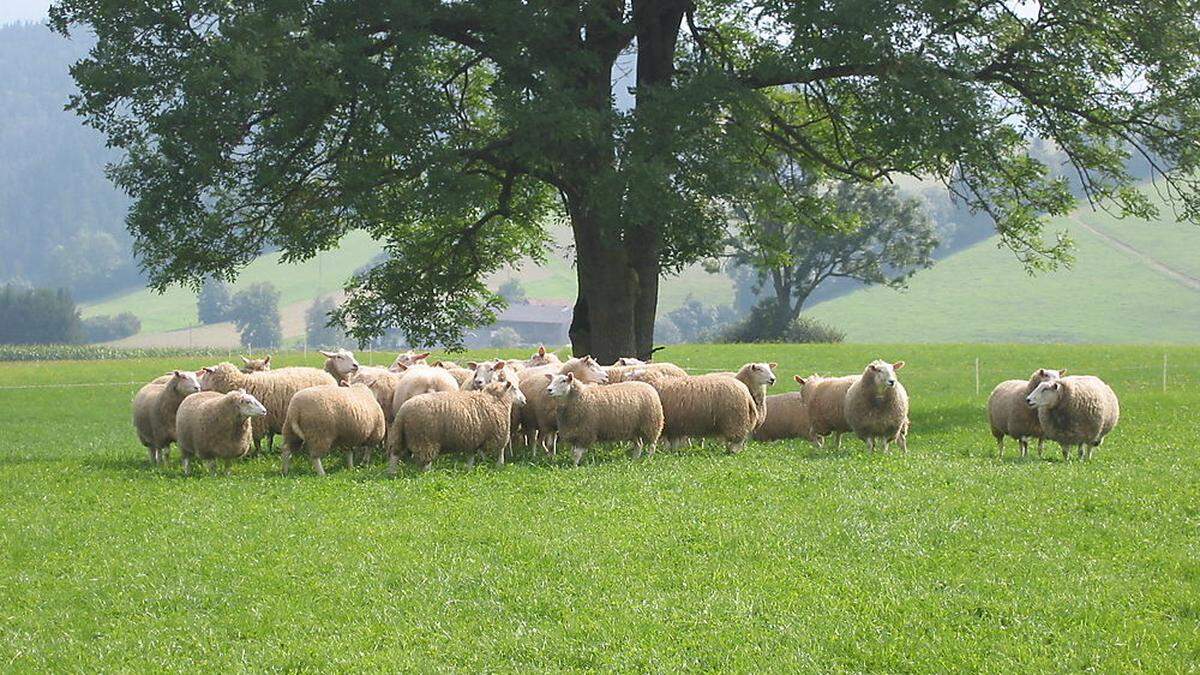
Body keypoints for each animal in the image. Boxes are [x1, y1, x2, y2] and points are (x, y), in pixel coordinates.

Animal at [199, 357, 336, 451]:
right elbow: (269, 439)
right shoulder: (268, 419)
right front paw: (268, 451)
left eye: (206, 375)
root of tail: (330, 377)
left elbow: (257, 440)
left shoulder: (258, 420)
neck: (240, 382)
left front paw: (258, 454)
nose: (200, 389)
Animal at [388, 379, 525, 473]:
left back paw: (392, 472)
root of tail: (403, 411)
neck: (496, 400)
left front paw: (469, 469)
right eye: (514, 388)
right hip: (425, 438)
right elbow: (500, 450)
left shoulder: (472, 437)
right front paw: (500, 465)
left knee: (395, 454)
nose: (524, 400)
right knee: (426, 459)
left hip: (400, 434)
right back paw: (428, 473)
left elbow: (471, 455)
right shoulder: (497, 434)